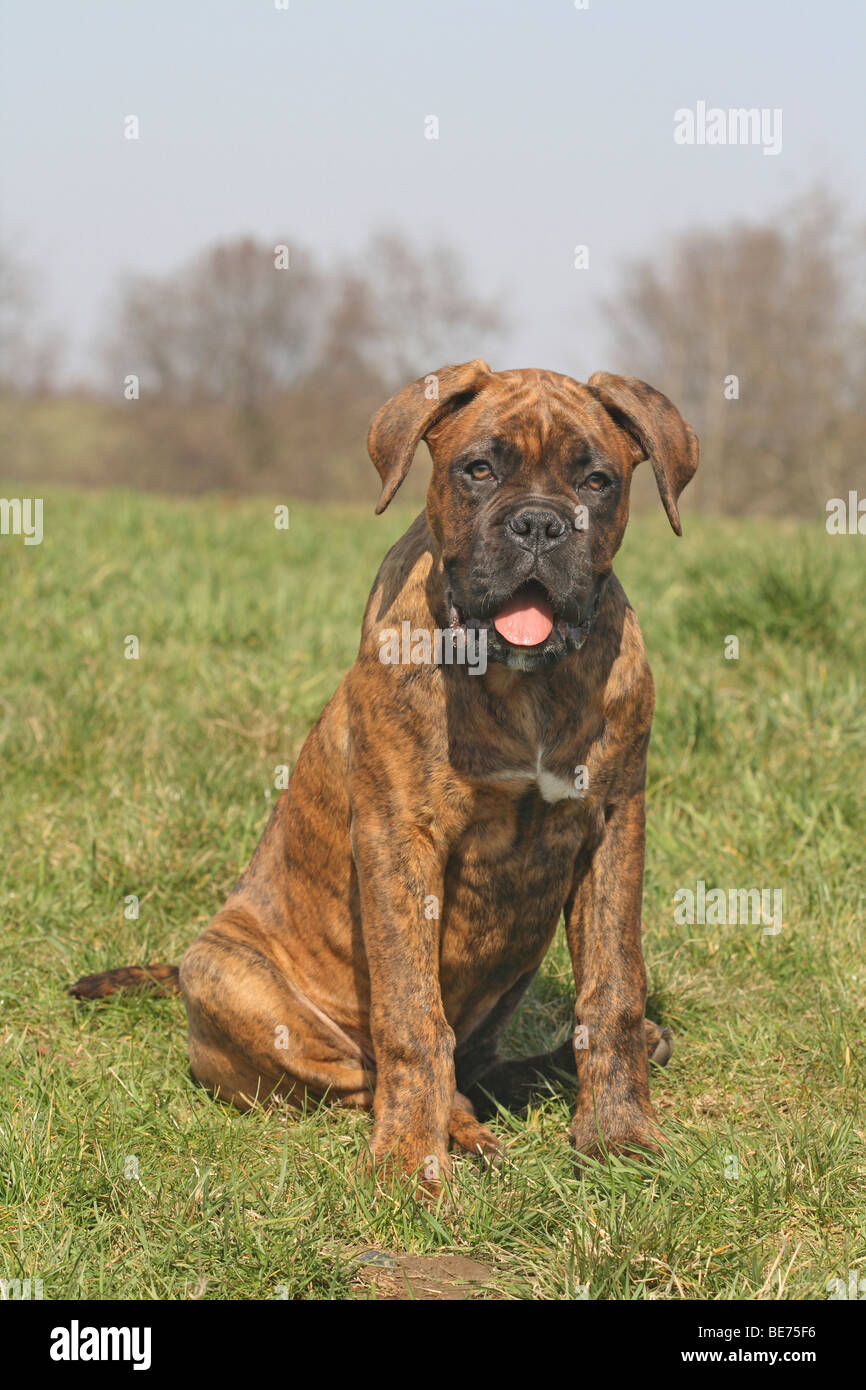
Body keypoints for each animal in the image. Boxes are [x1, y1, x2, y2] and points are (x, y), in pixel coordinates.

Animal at [71, 364, 700, 1189]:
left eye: (597, 481)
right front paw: (409, 1163)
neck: (522, 682)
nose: (538, 526)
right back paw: (457, 1132)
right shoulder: (401, 837)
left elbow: (614, 988)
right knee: (373, 1072)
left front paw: (619, 1133)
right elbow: (410, 1017)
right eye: (478, 469)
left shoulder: (614, 823)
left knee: (479, 1065)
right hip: (228, 977)